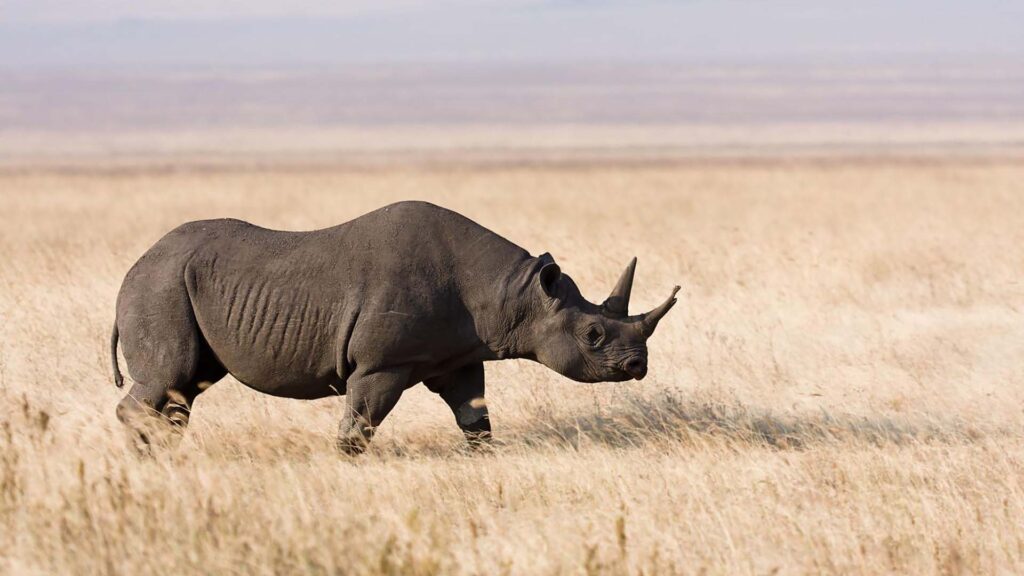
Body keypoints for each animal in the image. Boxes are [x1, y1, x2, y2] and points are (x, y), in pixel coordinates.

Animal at [111, 201, 678, 453]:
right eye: (593, 336)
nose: (638, 365)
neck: (515, 294)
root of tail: (133, 266)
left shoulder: (458, 355)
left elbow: (475, 417)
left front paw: (482, 459)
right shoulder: (383, 363)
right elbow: (359, 425)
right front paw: (346, 465)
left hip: (173, 284)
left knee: (186, 386)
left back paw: (163, 454)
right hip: (160, 285)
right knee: (171, 375)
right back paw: (147, 456)